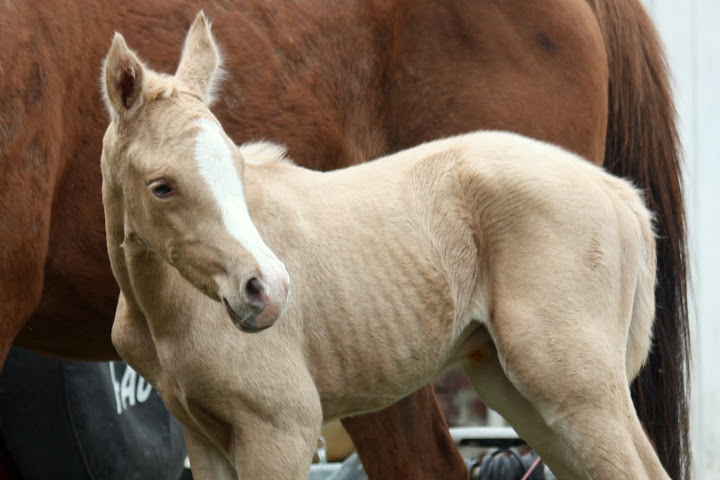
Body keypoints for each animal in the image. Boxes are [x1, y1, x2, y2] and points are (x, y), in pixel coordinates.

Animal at [0, 0, 689, 478]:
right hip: (518, 390)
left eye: (236, 165)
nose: (267, 291)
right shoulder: (204, 435)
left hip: (575, 385)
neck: (167, 309)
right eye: (162, 186)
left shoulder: (280, 428)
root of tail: (616, 192)